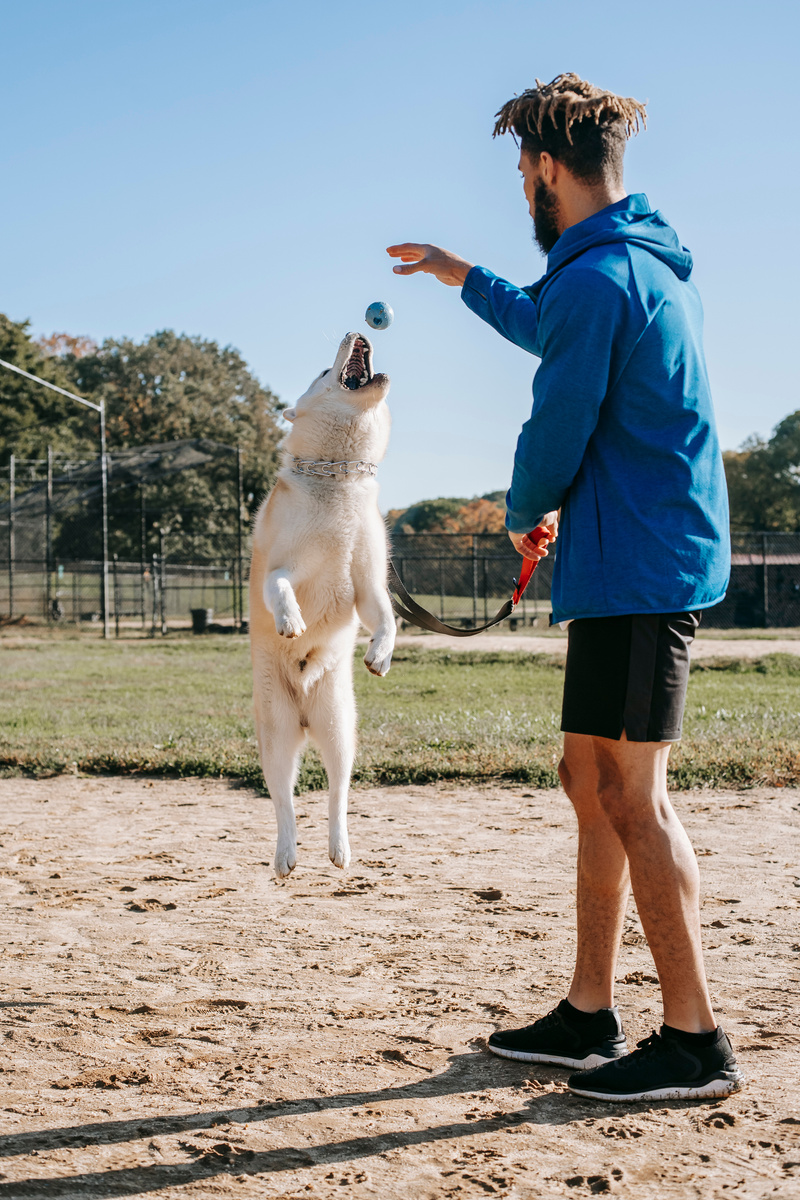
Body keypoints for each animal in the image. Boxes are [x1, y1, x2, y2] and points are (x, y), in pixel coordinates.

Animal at [248, 333, 395, 878]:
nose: (357, 331)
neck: (340, 481)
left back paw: (339, 847)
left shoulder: (369, 586)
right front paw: (291, 620)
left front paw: (380, 654)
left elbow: (387, 619)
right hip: (277, 736)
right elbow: (280, 589)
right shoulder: (282, 568)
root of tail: (307, 715)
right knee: (284, 800)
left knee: (337, 792)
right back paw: (286, 854)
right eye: (320, 370)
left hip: (339, 732)